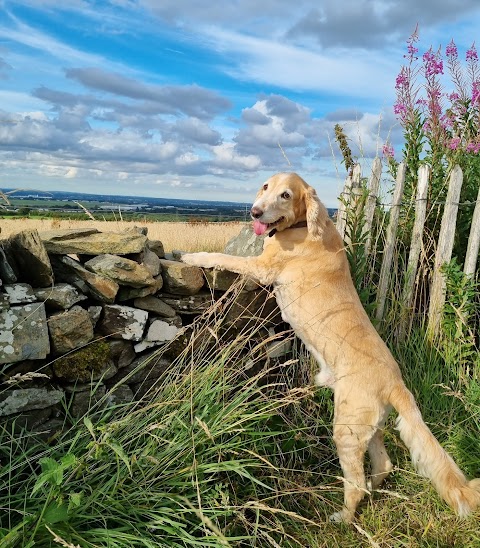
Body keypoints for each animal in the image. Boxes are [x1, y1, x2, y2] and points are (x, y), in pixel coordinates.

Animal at [181, 171, 480, 524]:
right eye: (266, 187)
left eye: (285, 195)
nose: (255, 212)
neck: (302, 226)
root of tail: (396, 383)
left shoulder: (262, 268)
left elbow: (224, 257)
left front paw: (192, 257)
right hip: (369, 427)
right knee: (383, 465)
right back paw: (374, 491)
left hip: (346, 431)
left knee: (356, 483)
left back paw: (344, 517)